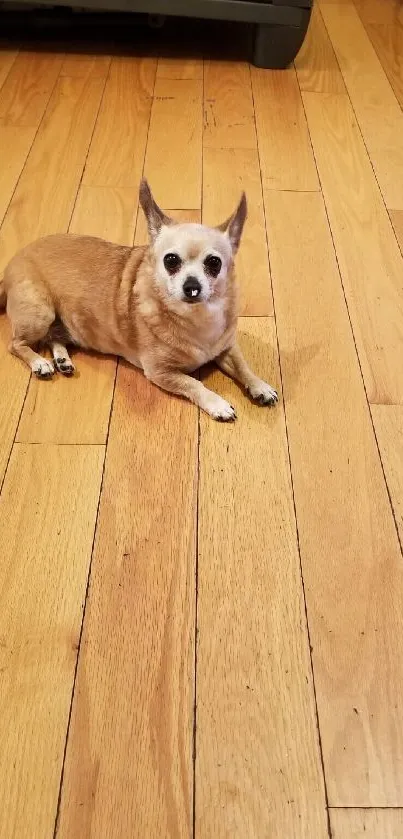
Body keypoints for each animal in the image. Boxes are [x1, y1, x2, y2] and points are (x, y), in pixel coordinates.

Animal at [0, 181, 278, 424]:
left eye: (214, 263)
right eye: (171, 261)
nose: (192, 286)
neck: (197, 317)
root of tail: (10, 266)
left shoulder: (227, 348)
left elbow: (244, 366)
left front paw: (260, 386)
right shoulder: (160, 372)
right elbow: (194, 383)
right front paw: (217, 403)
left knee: (53, 337)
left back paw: (62, 360)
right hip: (40, 311)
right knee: (16, 344)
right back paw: (40, 363)